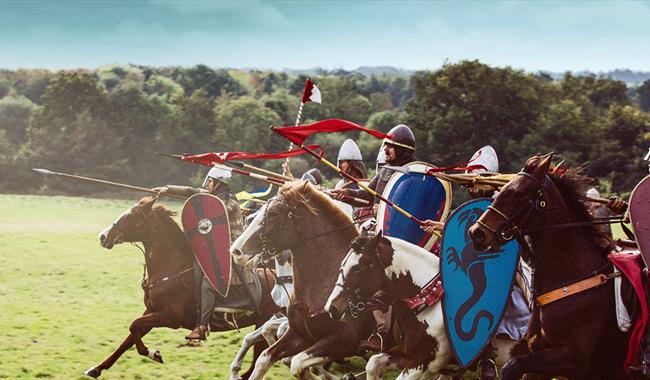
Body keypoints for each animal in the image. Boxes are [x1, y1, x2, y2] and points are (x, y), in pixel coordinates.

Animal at [84, 197, 278, 378]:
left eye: (132, 216)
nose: (103, 236)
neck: (171, 267)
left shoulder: (169, 318)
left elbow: (133, 326)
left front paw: (153, 353)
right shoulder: (151, 312)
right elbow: (129, 338)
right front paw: (97, 369)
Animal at [229, 182, 372, 380]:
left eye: (273, 214)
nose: (236, 251)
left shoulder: (345, 340)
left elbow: (297, 363)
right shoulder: (299, 333)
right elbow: (266, 358)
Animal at [468, 154, 632, 380]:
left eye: (519, 193)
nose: (477, 233)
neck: (572, 277)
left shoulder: (572, 360)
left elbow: (512, 366)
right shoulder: (539, 357)